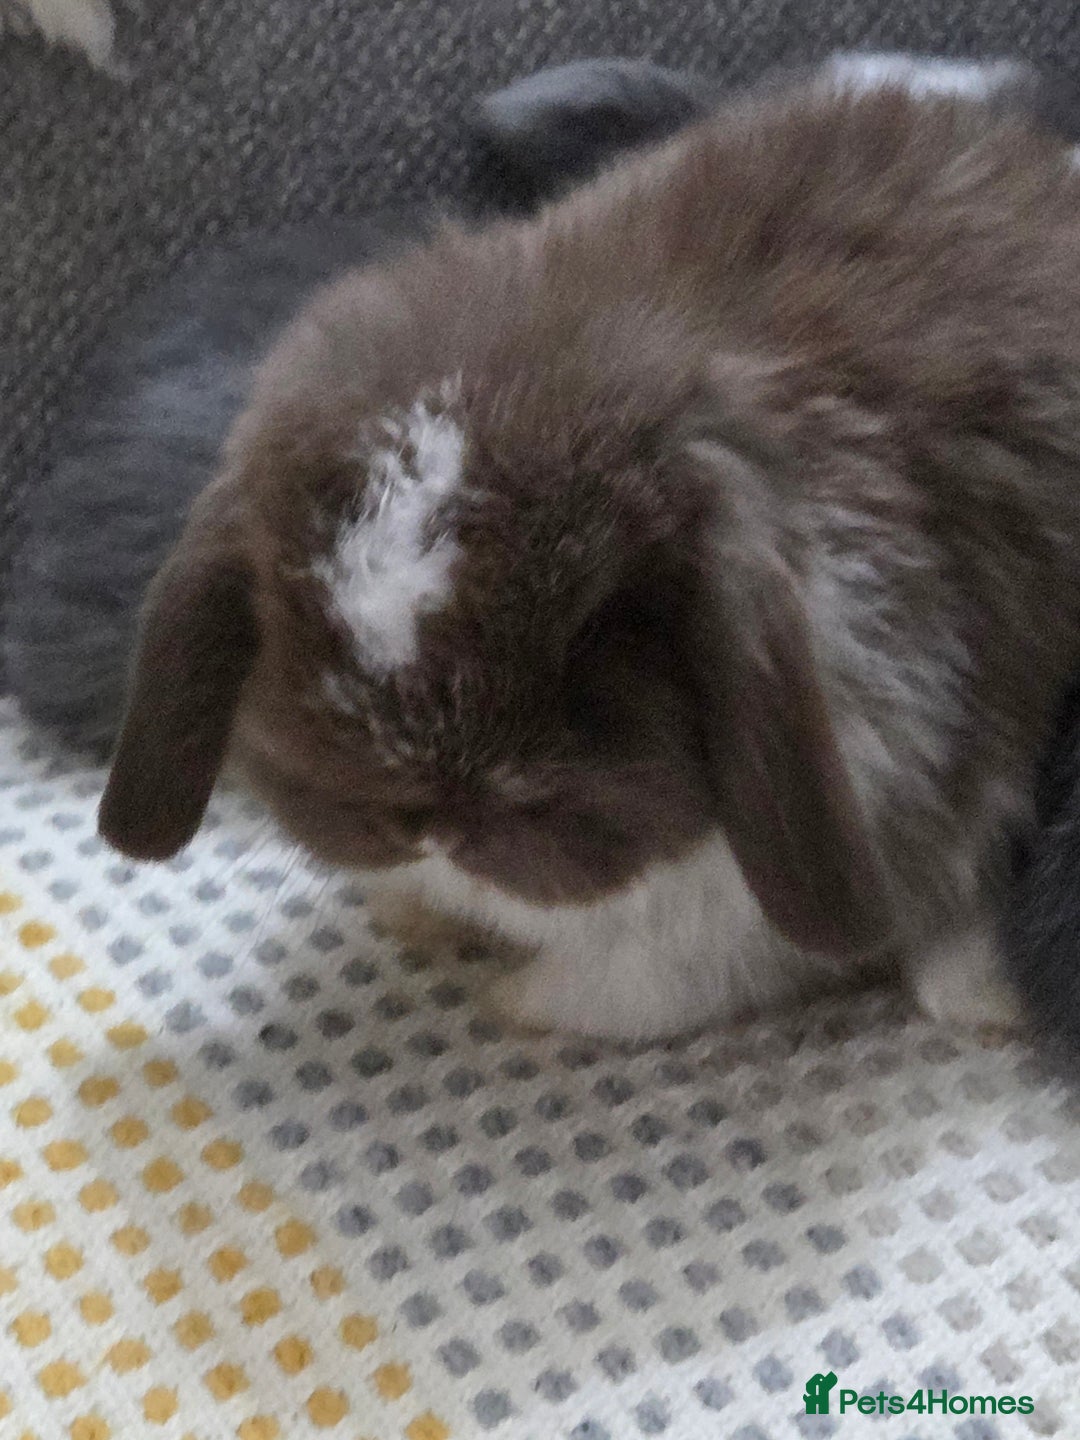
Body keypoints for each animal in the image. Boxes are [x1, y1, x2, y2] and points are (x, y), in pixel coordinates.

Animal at [94, 61, 1080, 1043]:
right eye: (290, 599)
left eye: (597, 625)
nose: (431, 816)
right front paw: (414, 915)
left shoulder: (733, 922)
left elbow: (621, 990)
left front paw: (509, 999)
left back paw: (976, 994)